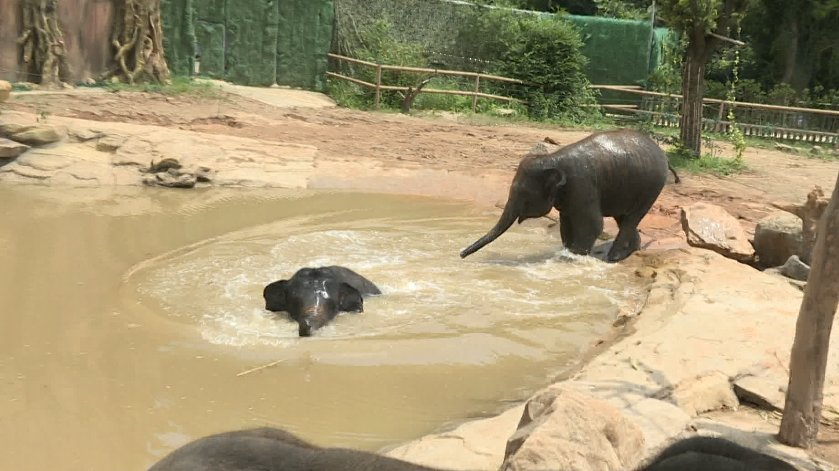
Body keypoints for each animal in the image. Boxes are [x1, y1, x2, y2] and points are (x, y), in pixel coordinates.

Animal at [460, 129, 676, 262]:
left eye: (523, 193)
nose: (460, 254)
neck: (553, 158)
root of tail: (660, 151)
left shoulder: (582, 185)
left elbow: (592, 224)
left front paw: (572, 257)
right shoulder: (569, 195)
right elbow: (566, 223)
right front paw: (566, 252)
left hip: (651, 187)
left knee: (631, 218)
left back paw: (613, 257)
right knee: (624, 218)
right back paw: (631, 251)